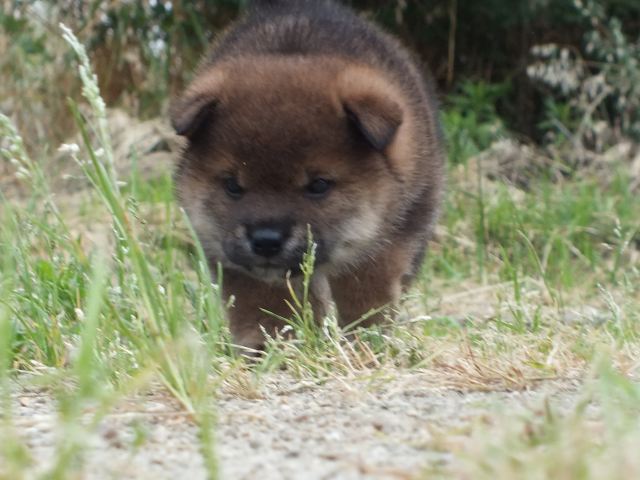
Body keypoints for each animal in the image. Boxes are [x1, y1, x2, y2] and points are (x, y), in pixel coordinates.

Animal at [172, 0, 448, 352]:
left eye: (318, 185)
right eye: (232, 185)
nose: (265, 240)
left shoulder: (387, 241)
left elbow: (366, 292)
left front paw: (363, 340)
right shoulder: (232, 257)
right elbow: (265, 303)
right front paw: (271, 346)